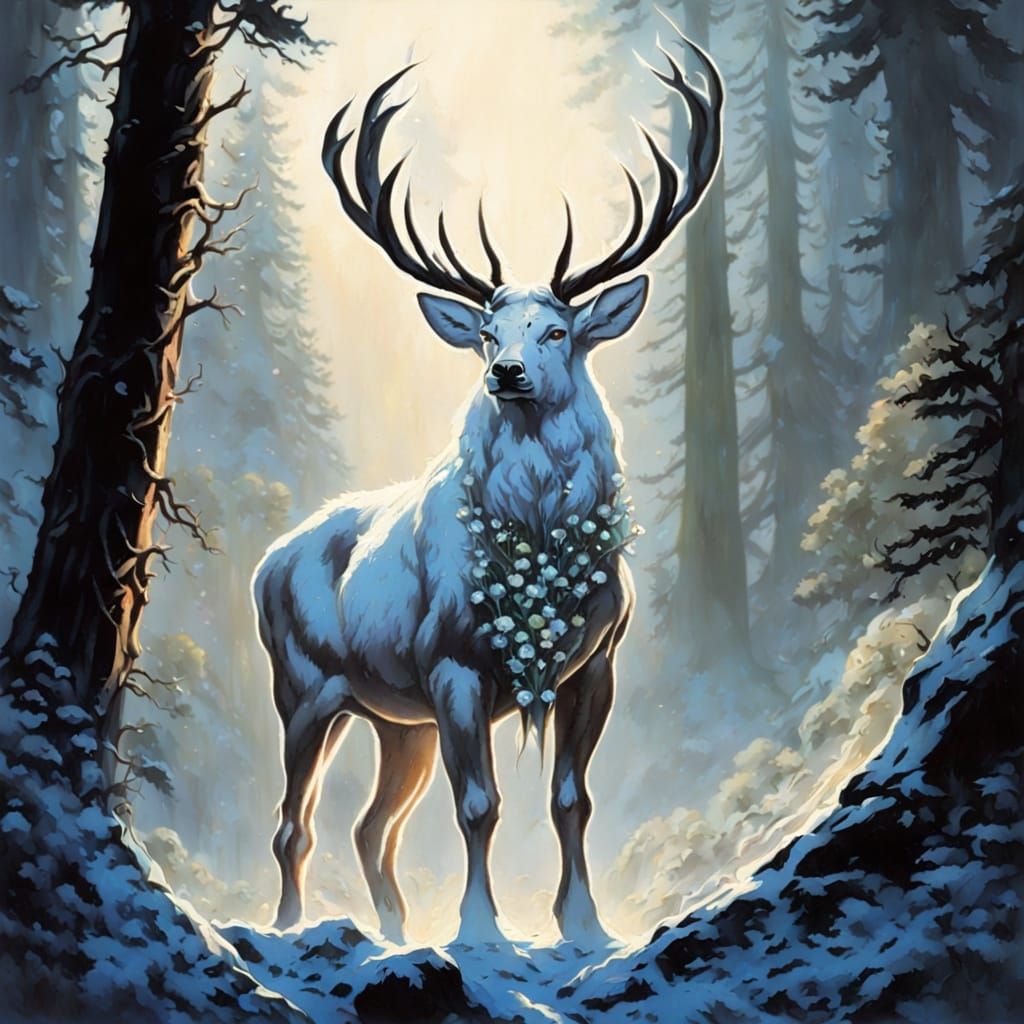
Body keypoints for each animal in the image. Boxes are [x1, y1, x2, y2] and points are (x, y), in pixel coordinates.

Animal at [253, 29, 722, 946]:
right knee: (297, 824)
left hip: (397, 722)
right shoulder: (454, 668)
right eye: (485, 332)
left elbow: (572, 799)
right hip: (305, 687)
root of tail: (264, 564)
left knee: (371, 828)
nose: (507, 372)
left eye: (558, 330)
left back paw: (395, 931)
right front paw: (480, 929)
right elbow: (479, 805)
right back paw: (288, 926)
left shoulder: (595, 663)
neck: (536, 543)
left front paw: (584, 923)